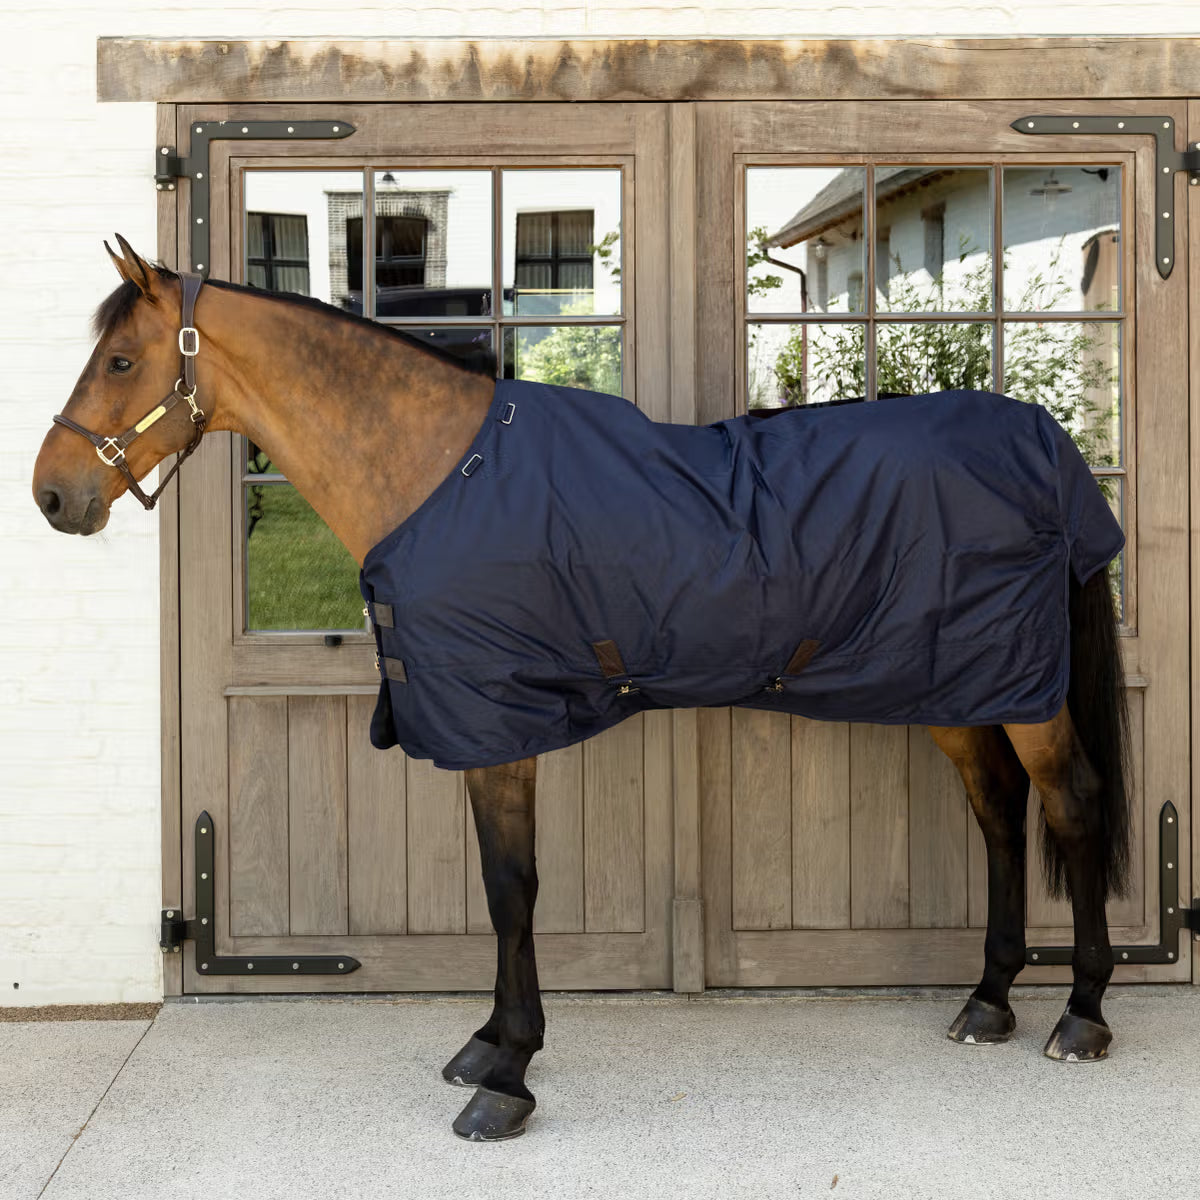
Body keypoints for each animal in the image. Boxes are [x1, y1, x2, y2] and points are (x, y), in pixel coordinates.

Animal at [33, 237, 1131, 1142]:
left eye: (121, 361)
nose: (52, 494)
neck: (443, 474)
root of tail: (1045, 443)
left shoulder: (500, 725)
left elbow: (513, 887)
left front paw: (506, 1077)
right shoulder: (481, 726)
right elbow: (498, 886)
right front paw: (486, 1043)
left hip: (1021, 692)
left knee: (1072, 807)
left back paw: (1080, 1016)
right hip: (958, 685)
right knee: (998, 813)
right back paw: (988, 1001)